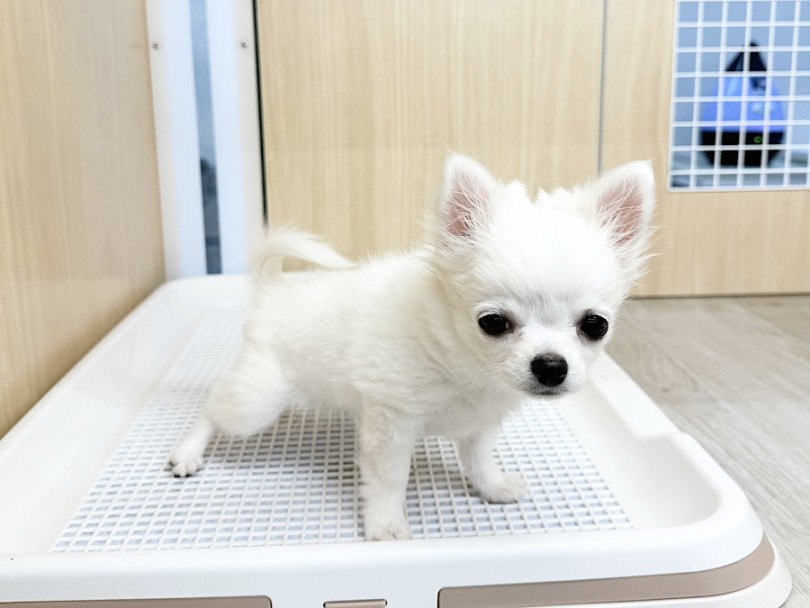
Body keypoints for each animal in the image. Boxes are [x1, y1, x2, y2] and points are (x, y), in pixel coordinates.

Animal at [169, 154, 656, 541]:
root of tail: (270, 290)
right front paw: (385, 524)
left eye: (595, 325)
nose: (551, 366)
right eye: (493, 323)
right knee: (212, 409)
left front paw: (491, 487)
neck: (466, 368)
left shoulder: (481, 423)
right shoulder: (392, 423)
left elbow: (478, 460)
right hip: (257, 402)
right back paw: (187, 453)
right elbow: (389, 479)